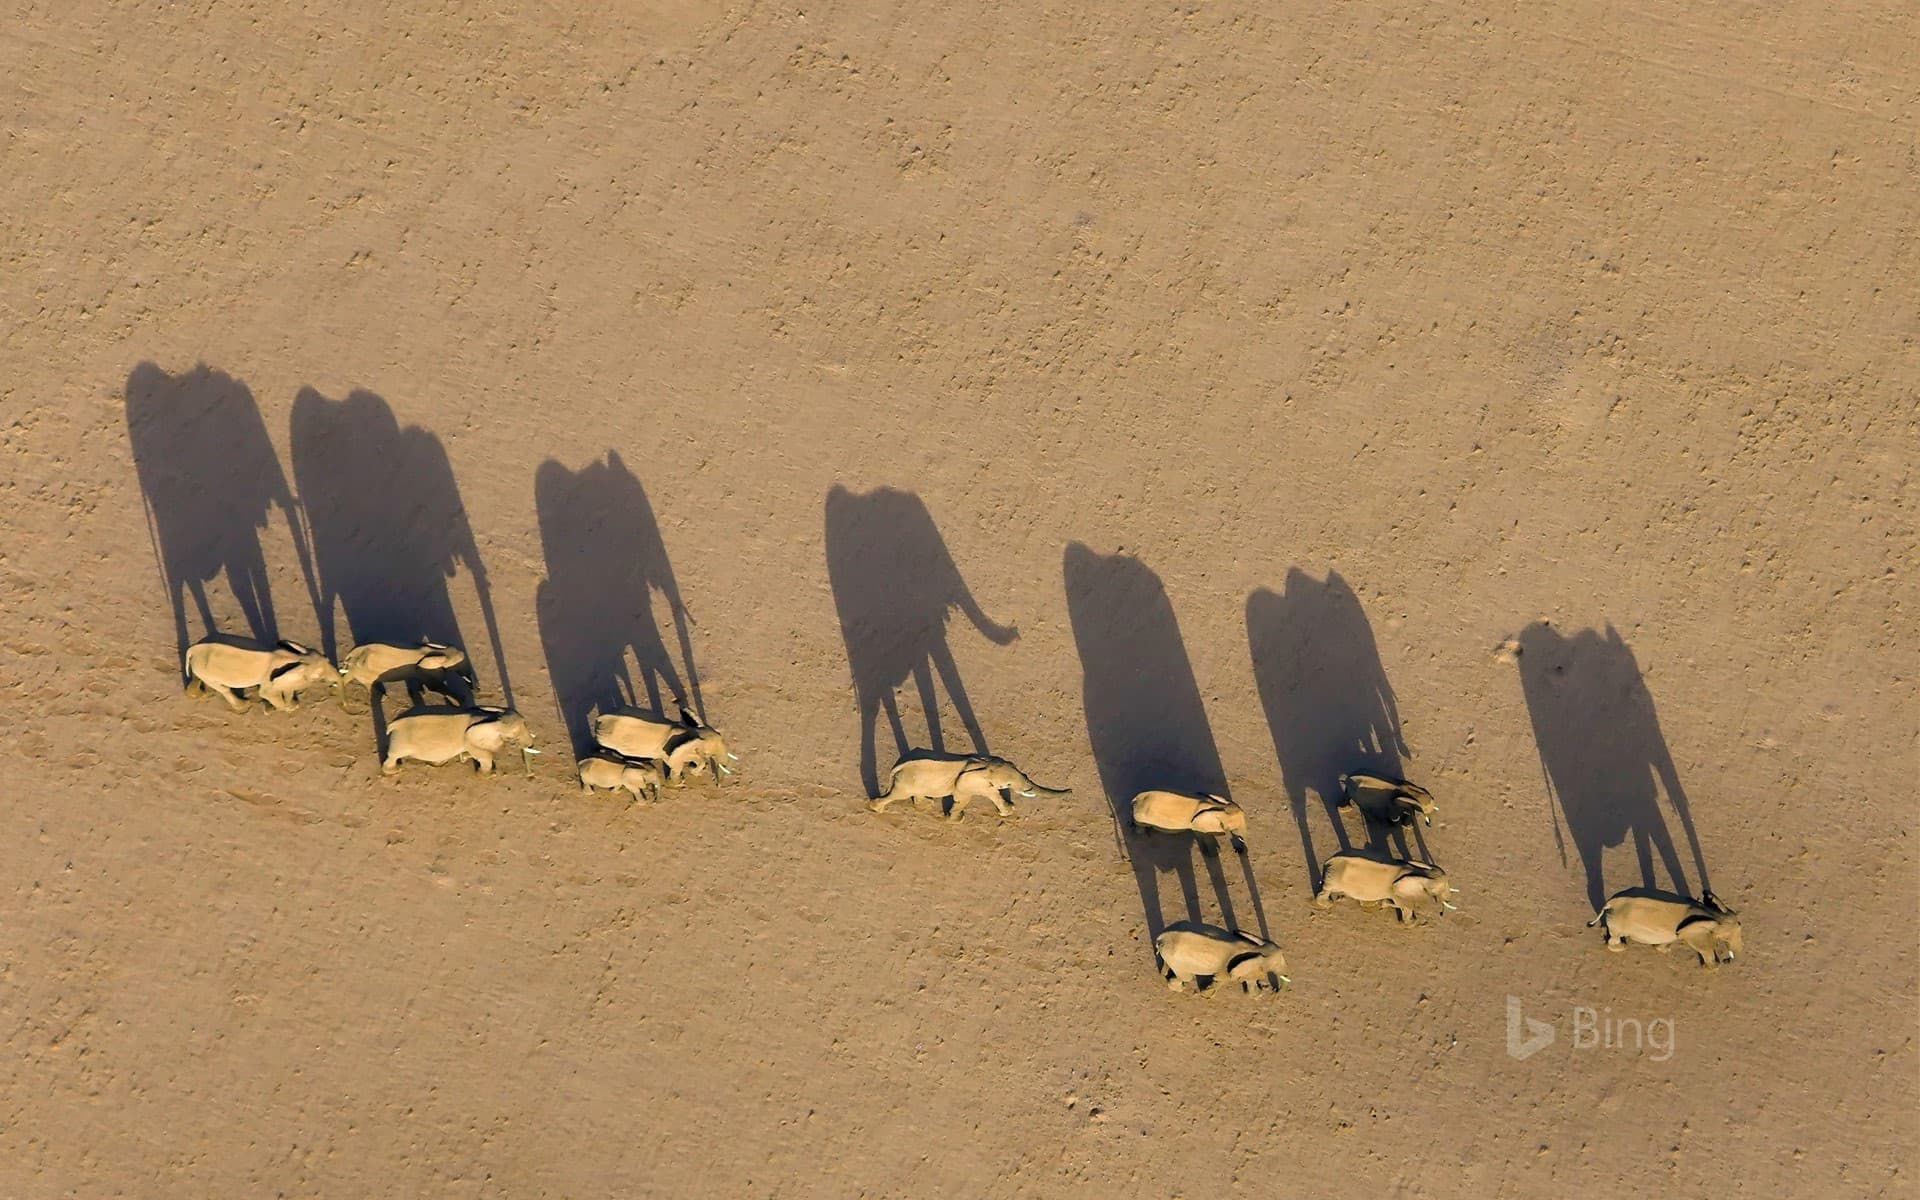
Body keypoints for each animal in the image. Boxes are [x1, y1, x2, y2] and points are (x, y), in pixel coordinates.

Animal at [184, 637, 339, 712]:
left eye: (327, 659)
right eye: (318, 676)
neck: (298, 657)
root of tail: (192, 650)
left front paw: (291, 705)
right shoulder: (269, 677)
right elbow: (266, 693)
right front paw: (286, 709)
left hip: (200, 666)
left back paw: (196, 695)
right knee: (224, 688)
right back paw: (244, 706)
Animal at [382, 707, 537, 776]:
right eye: (512, 737)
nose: (530, 775)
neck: (490, 717)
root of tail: (392, 725)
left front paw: (464, 757)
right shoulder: (469, 739)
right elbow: (484, 755)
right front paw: (485, 774)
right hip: (400, 741)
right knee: (393, 756)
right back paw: (394, 771)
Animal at [1153, 922, 1290, 993]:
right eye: (1277, 963)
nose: (1274, 989)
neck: (1257, 948)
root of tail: (1161, 937)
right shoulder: (1230, 969)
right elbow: (1222, 978)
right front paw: (1206, 995)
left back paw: (1164, 974)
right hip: (1179, 961)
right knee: (1186, 977)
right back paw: (1180, 988)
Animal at [1314, 853, 1458, 924]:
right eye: (1437, 891)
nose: (1441, 914)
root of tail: (1328, 861)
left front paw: (1383, 904)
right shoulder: (1397, 892)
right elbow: (1406, 907)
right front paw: (1415, 922)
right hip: (1334, 877)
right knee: (1326, 891)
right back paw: (1328, 904)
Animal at [1588, 888, 1742, 968]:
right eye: (1727, 936)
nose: (1727, 960)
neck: (1714, 915)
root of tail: (1610, 902)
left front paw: (1663, 950)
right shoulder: (1695, 934)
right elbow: (1705, 949)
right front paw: (1710, 967)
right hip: (1618, 923)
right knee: (1615, 938)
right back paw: (1622, 947)